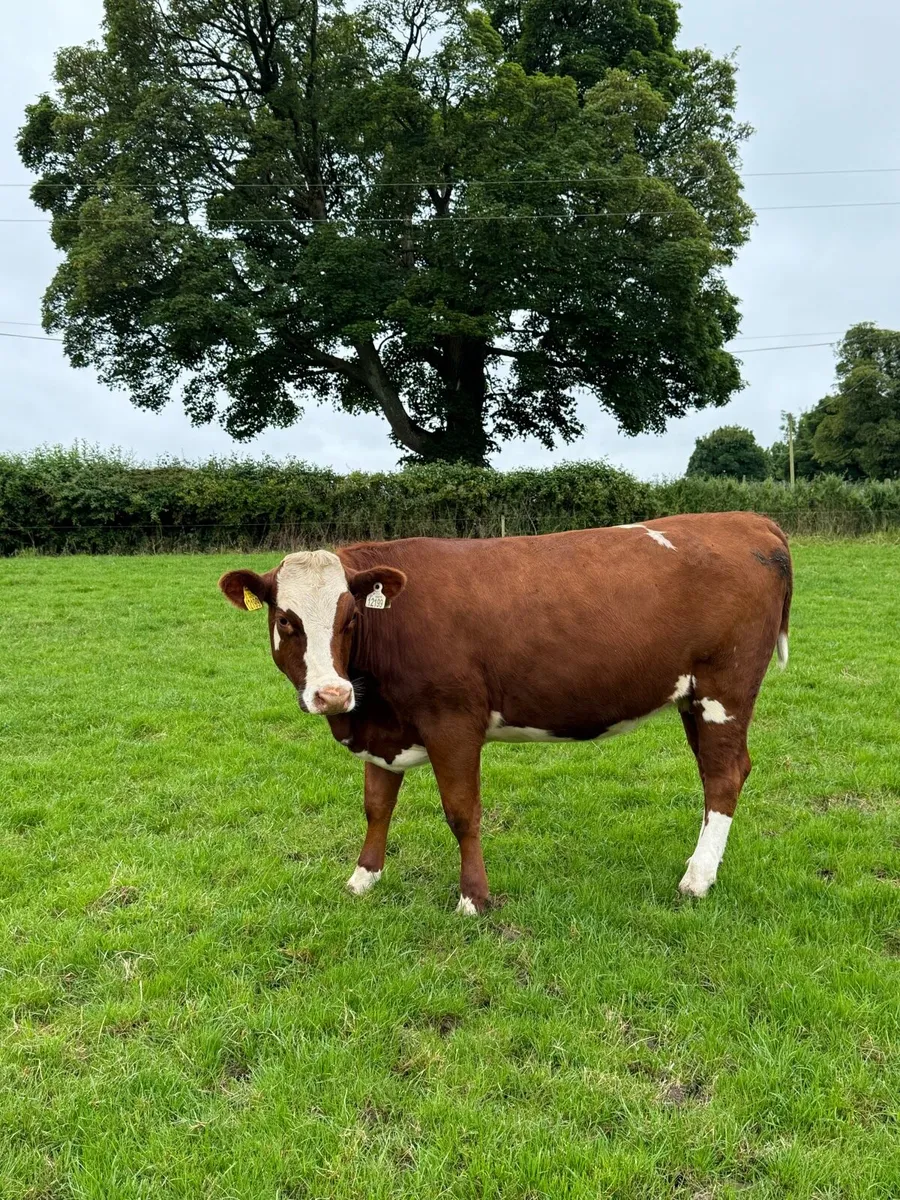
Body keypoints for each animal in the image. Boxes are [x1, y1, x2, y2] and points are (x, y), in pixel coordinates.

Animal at [219, 512, 792, 914]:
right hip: (693, 698)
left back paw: (697, 879)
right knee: (718, 774)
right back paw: (700, 863)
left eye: (350, 617)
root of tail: (745, 519)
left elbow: (462, 812)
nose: (333, 694)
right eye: (286, 620)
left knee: (723, 774)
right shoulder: (381, 730)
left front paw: (473, 898)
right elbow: (377, 806)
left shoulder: (453, 723)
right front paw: (363, 878)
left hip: (726, 688)